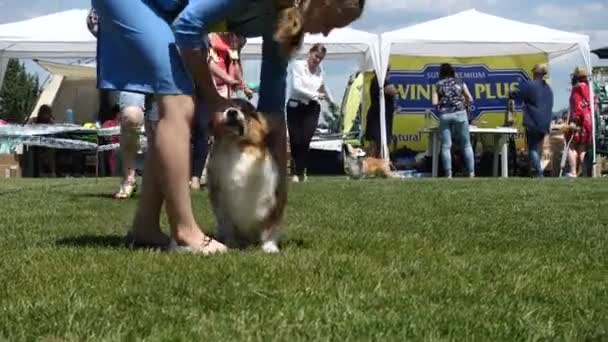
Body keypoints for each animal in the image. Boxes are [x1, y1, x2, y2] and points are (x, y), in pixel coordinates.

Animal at [207, 99, 288, 254]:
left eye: (244, 110)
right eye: (225, 108)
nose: (232, 112)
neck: (238, 147)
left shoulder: (274, 201)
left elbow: (270, 227)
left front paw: (270, 248)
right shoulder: (222, 206)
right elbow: (228, 226)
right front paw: (231, 244)